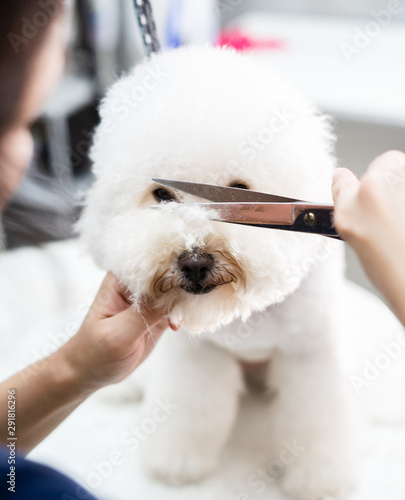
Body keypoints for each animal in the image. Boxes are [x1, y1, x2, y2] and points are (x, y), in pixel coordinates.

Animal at [78, 47, 354, 500]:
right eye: (161, 195)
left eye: (240, 191)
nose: (194, 260)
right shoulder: (197, 355)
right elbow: (191, 411)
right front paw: (178, 461)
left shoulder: (308, 353)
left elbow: (314, 421)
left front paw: (321, 478)